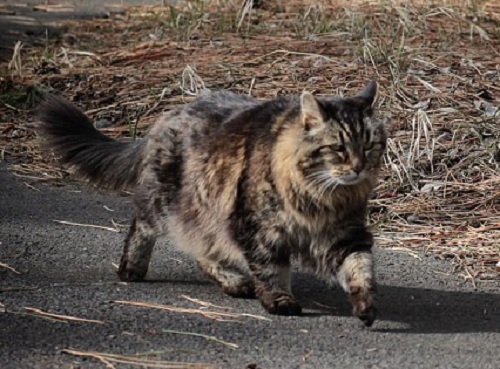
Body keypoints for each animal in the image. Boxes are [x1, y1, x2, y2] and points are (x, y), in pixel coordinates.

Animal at [38, 80, 386, 324]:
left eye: (369, 145)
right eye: (338, 148)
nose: (358, 167)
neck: (322, 197)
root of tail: (170, 114)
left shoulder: (345, 234)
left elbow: (360, 267)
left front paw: (366, 306)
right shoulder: (257, 229)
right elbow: (271, 270)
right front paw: (279, 301)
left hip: (209, 216)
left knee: (204, 254)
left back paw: (235, 283)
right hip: (169, 204)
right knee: (142, 225)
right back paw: (131, 269)